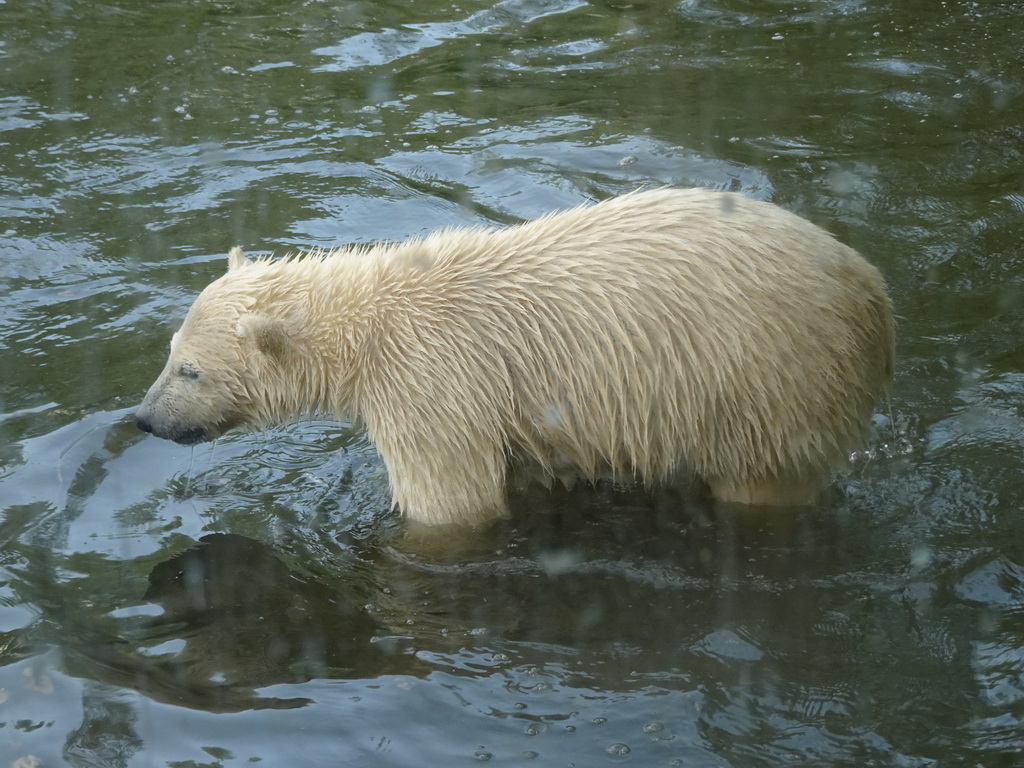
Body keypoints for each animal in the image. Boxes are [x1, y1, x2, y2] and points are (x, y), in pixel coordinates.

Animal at [138, 189, 897, 528]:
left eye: (190, 370)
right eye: (169, 354)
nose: (144, 418)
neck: (369, 323)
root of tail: (872, 289)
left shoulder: (427, 382)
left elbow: (449, 502)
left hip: (771, 383)